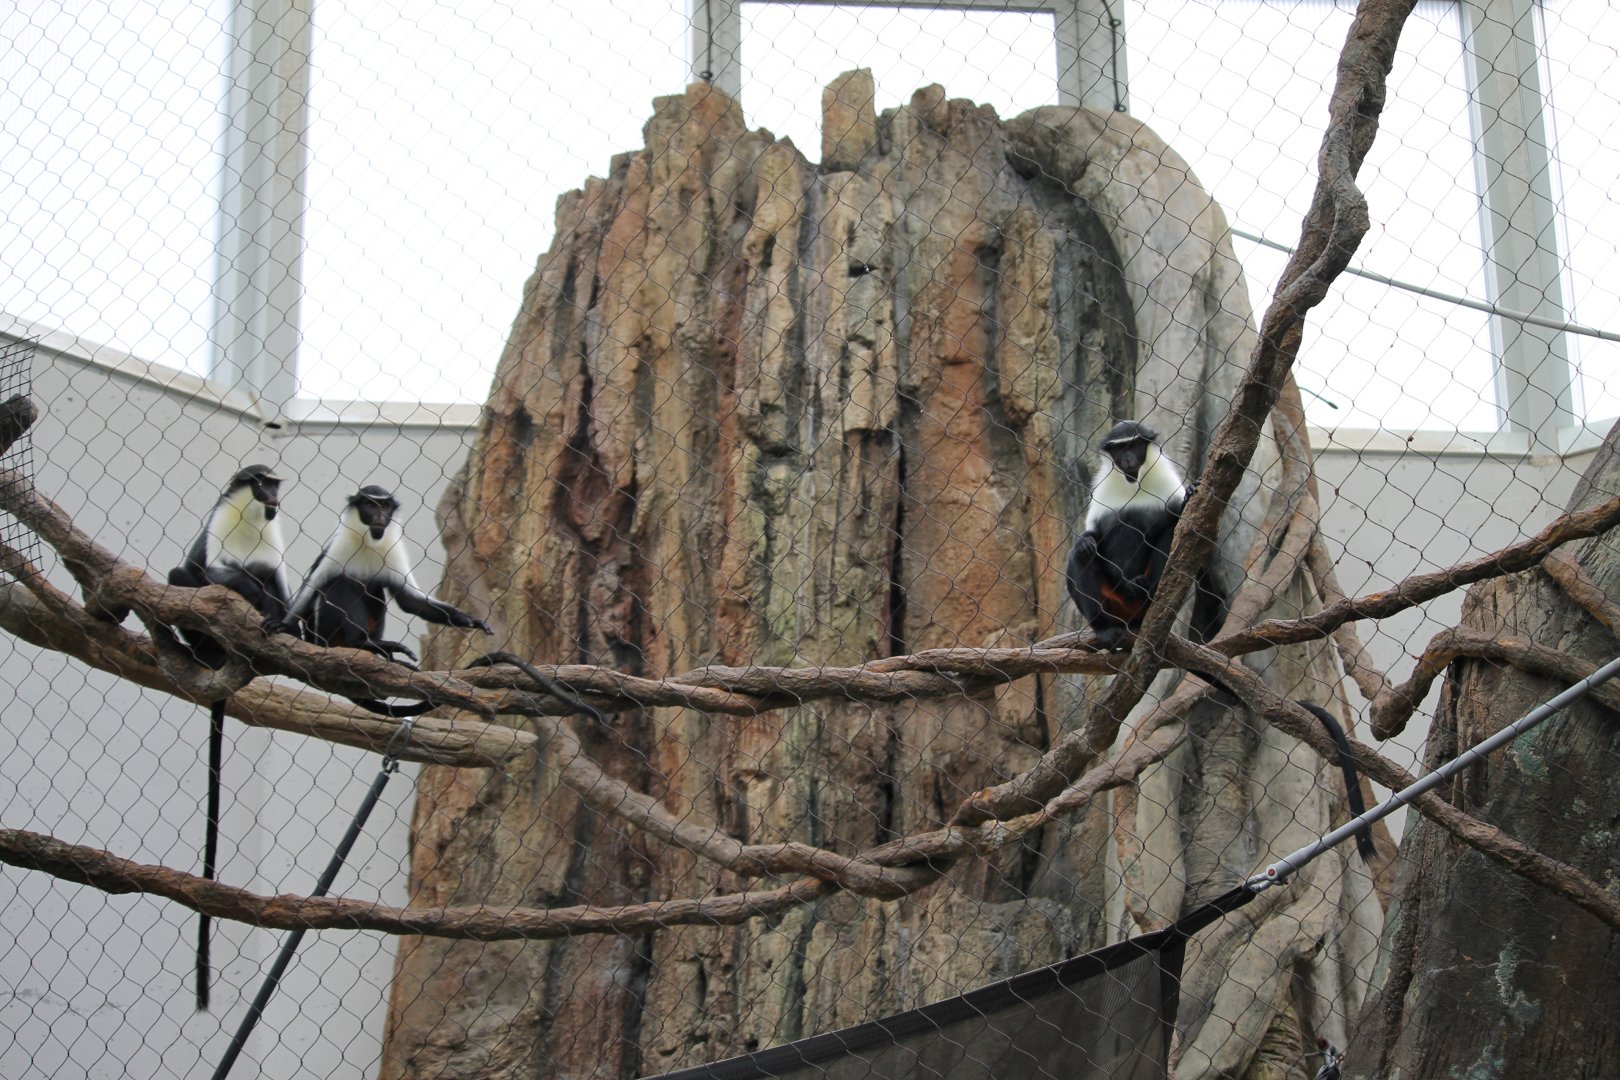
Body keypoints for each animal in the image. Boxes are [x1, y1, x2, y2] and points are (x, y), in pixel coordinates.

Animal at [267, 485, 492, 716]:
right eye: (370, 505)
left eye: (384, 506)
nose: (379, 517)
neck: (369, 541)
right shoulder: (336, 549)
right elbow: (309, 592)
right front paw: (282, 625)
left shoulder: (393, 552)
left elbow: (410, 601)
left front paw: (469, 621)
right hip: (324, 635)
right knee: (340, 583)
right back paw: (360, 642)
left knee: (375, 591)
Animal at [1065, 420, 1197, 651]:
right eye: (1119, 448)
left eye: (1134, 445)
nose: (1127, 459)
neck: (1134, 484)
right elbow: (1094, 534)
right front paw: (1085, 540)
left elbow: (1177, 523)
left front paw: (1189, 496)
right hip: (1112, 601)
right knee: (1079, 557)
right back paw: (1104, 627)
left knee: (1170, 532)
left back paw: (1147, 590)